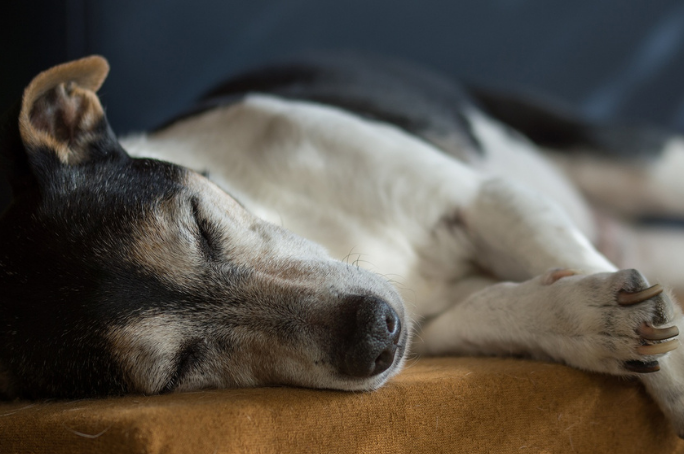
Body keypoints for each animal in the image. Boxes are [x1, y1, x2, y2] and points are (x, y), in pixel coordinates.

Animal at [1, 53, 684, 436]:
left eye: (199, 222)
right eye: (180, 369)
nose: (375, 334)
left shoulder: (485, 198)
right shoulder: (433, 330)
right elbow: (501, 310)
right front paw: (594, 322)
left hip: (635, 162)